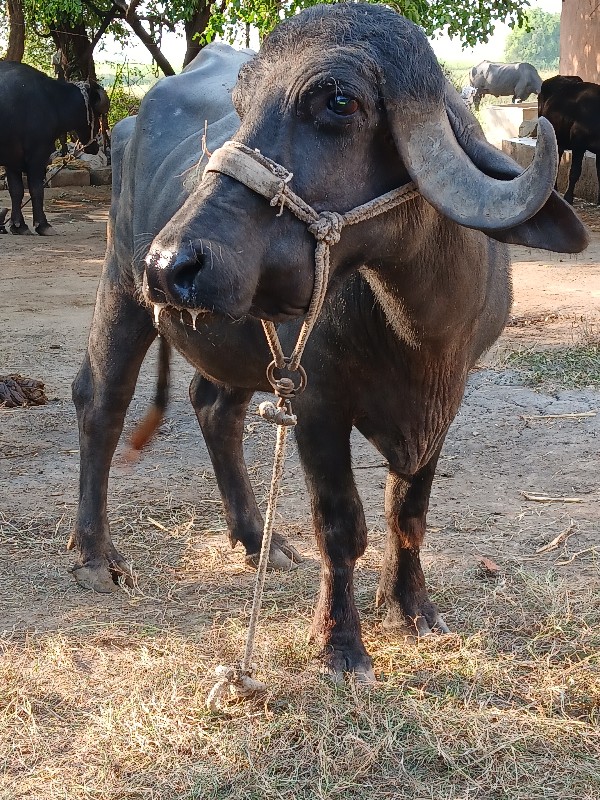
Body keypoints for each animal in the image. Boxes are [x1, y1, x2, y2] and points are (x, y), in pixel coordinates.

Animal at [0, 62, 108, 234]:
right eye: (96, 114)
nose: (94, 146)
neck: (52, 101)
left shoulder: (13, 158)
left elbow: (16, 191)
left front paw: (18, 226)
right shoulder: (37, 154)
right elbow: (36, 188)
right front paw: (43, 225)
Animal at [69, 4, 584, 680]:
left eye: (339, 101)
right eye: (242, 104)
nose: (171, 264)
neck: (413, 330)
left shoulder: (445, 402)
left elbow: (408, 513)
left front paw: (411, 609)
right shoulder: (316, 405)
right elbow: (342, 525)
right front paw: (341, 644)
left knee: (214, 409)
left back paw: (257, 541)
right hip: (120, 288)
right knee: (102, 402)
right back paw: (96, 555)